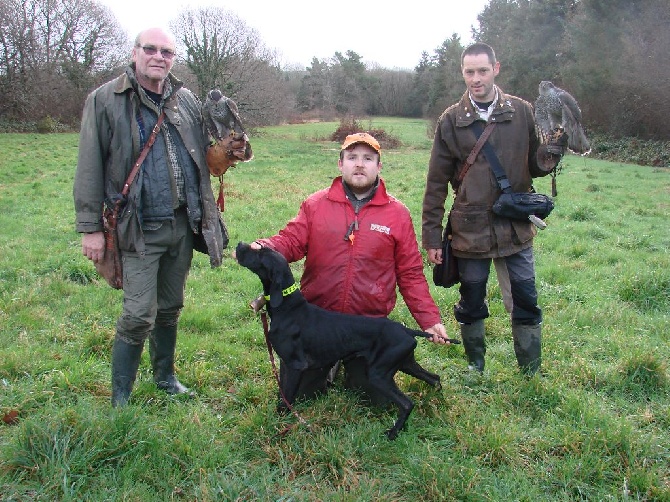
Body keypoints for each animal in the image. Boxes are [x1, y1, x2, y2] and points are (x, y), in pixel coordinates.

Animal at [234, 241, 448, 438]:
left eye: (260, 254)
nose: (239, 244)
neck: (288, 308)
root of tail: (407, 331)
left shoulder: (296, 365)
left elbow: (286, 398)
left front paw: (279, 425)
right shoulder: (285, 363)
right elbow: (282, 394)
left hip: (379, 374)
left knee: (407, 403)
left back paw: (393, 432)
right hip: (405, 363)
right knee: (435, 379)